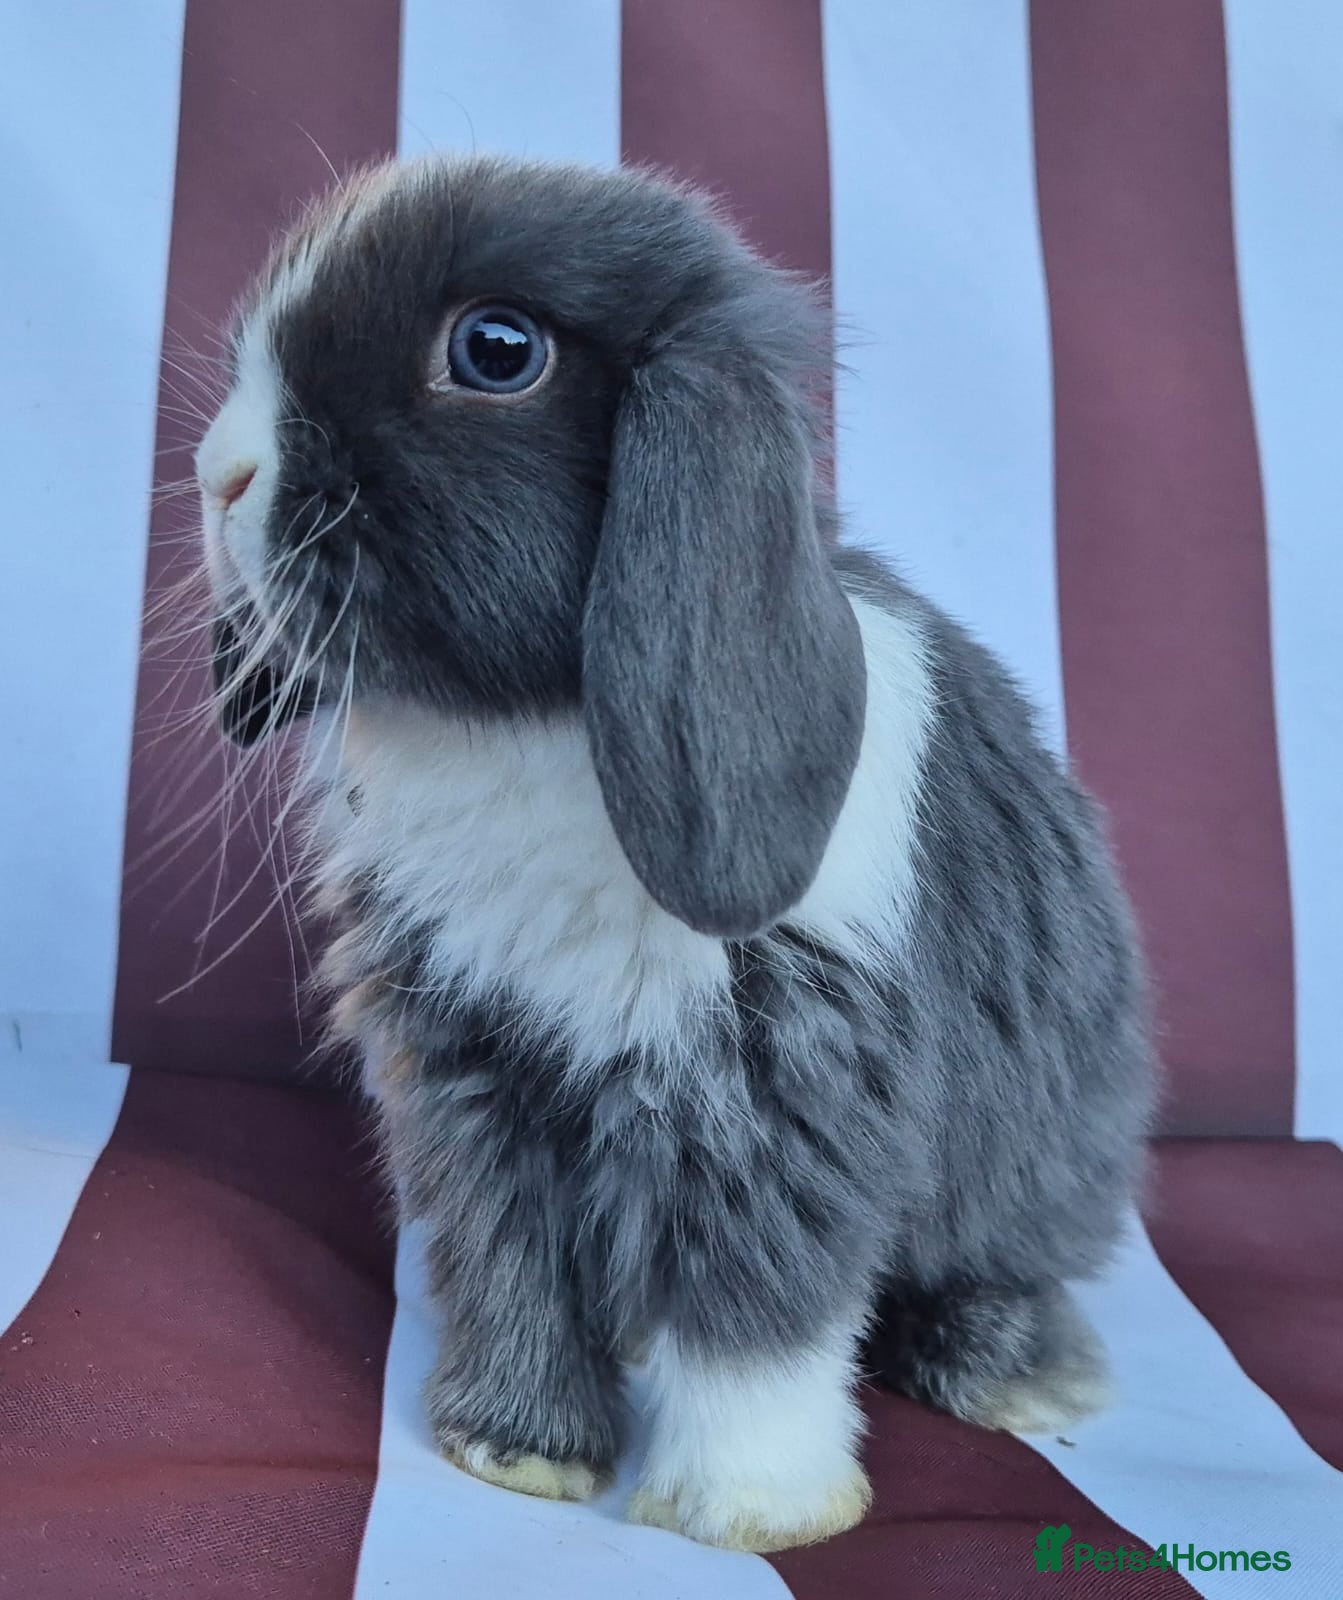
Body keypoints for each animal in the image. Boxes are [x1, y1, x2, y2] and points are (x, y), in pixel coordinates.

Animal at [195, 152, 1154, 1554]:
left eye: (494, 349)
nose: (221, 474)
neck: (528, 719)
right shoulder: (477, 1083)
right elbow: (513, 1266)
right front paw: (513, 1452)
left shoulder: (773, 1101)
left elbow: (757, 1317)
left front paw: (748, 1510)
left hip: (1035, 1166)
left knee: (1006, 1267)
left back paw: (1005, 1379)